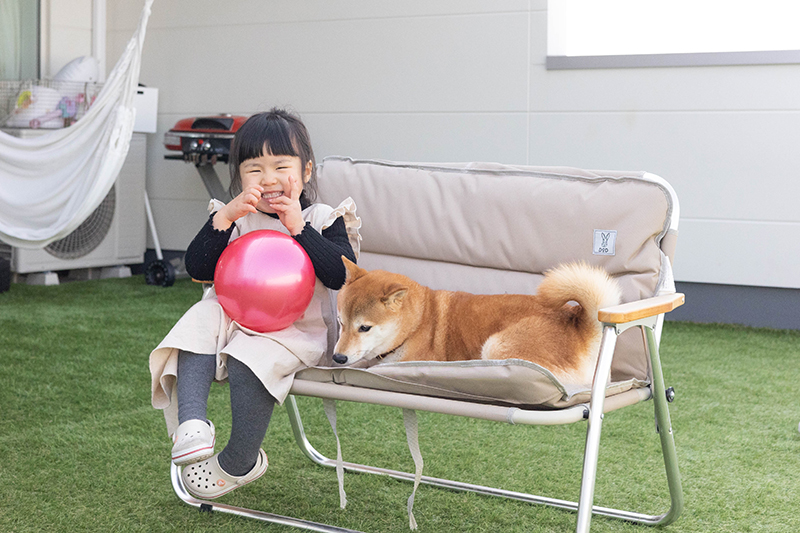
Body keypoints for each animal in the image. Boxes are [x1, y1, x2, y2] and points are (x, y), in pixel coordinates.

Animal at [334, 256, 620, 384]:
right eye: (340, 323)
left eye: (364, 327)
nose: (337, 358)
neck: (418, 322)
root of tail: (578, 325)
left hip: (496, 345)